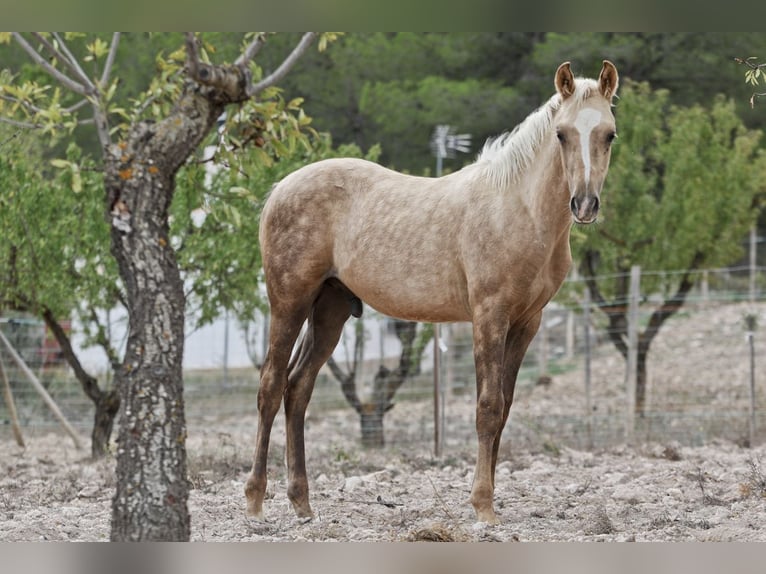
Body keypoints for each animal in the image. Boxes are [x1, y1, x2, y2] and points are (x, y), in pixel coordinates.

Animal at [249, 60, 620, 524]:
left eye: (609, 134)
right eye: (562, 134)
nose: (585, 205)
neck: (517, 208)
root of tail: (278, 190)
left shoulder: (526, 323)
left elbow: (505, 407)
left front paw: (488, 498)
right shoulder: (489, 316)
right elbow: (488, 407)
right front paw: (483, 505)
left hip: (329, 309)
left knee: (297, 389)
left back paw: (302, 501)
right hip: (289, 301)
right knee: (270, 386)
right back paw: (255, 500)